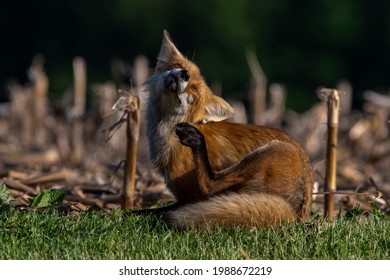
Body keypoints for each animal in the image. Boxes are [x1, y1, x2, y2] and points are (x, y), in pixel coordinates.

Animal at [143, 30, 314, 228]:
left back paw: (196, 140)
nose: (184, 74)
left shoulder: (191, 196)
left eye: (194, 91)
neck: (167, 134)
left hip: (271, 150)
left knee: (210, 182)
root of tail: (296, 215)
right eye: (179, 66)